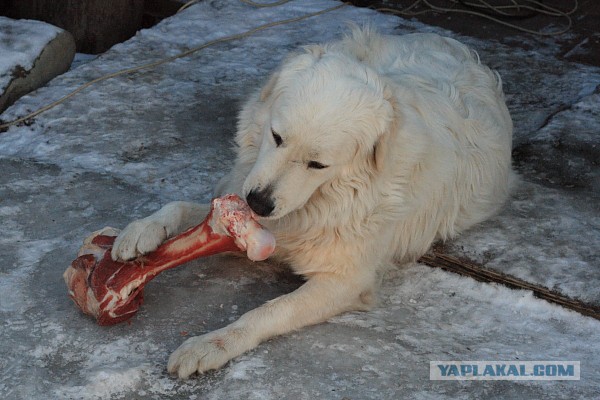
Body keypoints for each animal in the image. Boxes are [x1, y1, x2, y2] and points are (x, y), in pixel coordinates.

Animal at [113, 28, 516, 378]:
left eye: (317, 164)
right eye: (277, 137)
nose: (258, 203)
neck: (324, 199)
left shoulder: (346, 281)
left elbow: (269, 311)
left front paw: (212, 344)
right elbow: (182, 207)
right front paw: (142, 231)